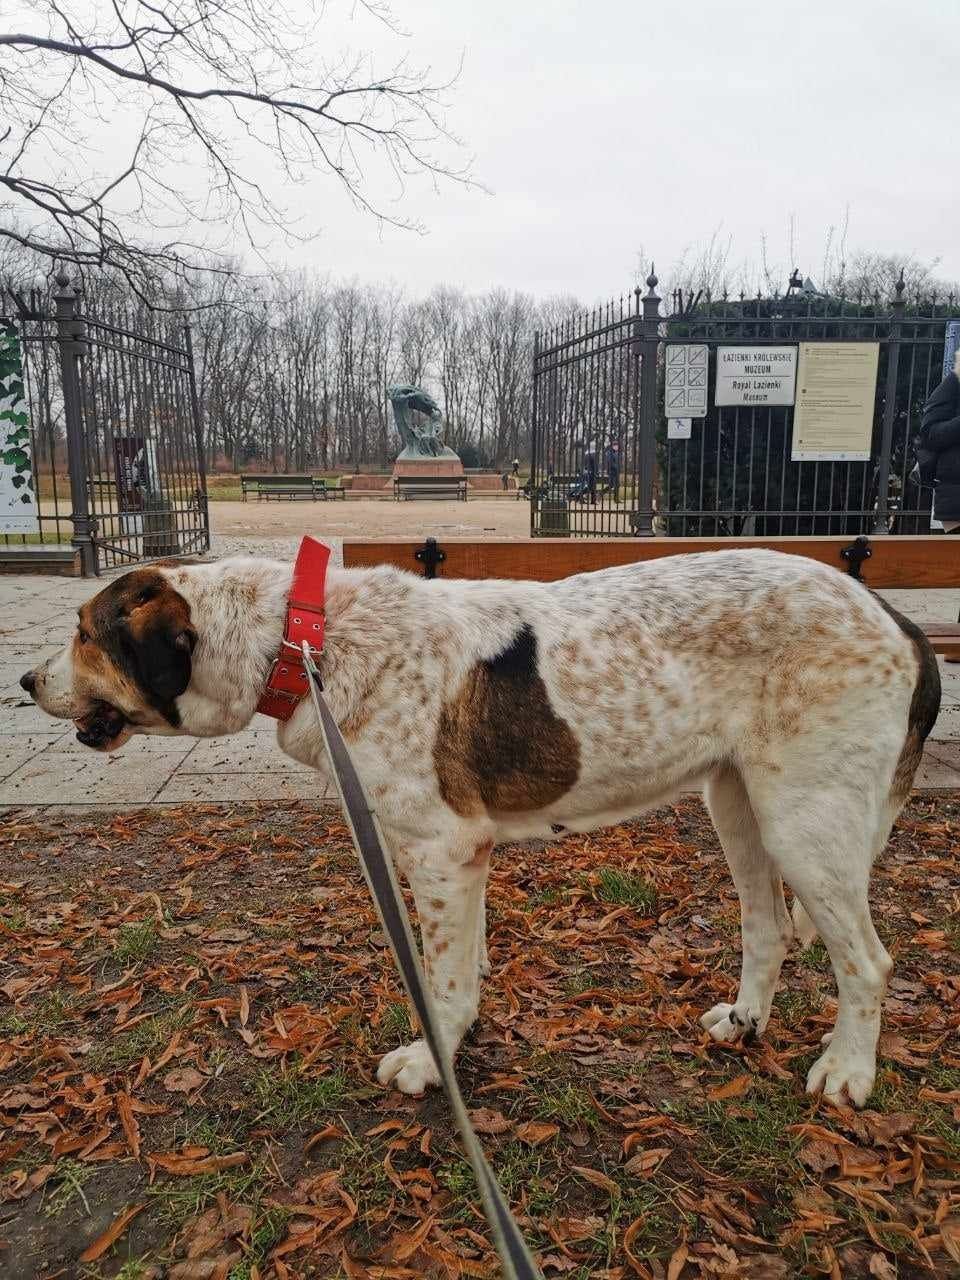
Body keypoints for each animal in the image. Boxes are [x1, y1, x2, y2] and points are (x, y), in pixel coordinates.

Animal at [20, 550, 942, 1111]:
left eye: (81, 633)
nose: (26, 682)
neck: (302, 637)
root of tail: (894, 616)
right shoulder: (458, 857)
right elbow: (463, 960)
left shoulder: (441, 851)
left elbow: (444, 983)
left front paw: (435, 1062)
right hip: (739, 808)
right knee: (768, 927)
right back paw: (745, 1023)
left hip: (807, 824)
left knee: (867, 960)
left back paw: (848, 1072)